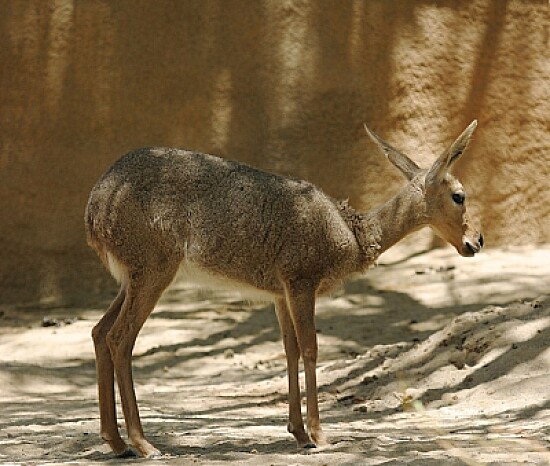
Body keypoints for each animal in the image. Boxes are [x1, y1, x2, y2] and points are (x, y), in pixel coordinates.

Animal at [85, 118, 484, 456]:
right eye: (459, 195)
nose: (476, 241)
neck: (349, 236)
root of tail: (95, 208)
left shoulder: (279, 293)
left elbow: (289, 349)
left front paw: (298, 432)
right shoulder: (301, 281)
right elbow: (311, 348)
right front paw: (320, 435)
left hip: (132, 278)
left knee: (99, 331)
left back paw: (116, 443)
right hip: (153, 270)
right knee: (120, 337)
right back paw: (144, 444)